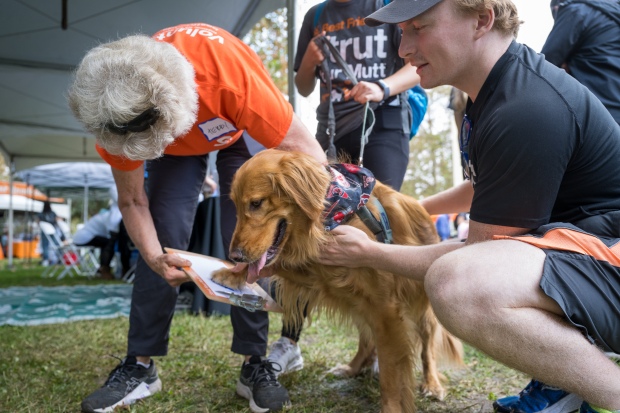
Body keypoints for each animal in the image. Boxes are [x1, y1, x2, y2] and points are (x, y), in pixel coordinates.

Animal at [213, 149, 460, 412]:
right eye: (235, 206)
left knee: (426, 346)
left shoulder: (386, 309)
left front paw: (393, 406)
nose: (234, 255)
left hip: (418, 305)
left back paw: (432, 384)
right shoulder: (318, 272)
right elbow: (275, 264)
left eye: (256, 203)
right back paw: (352, 367)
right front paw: (234, 273)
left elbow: (392, 375)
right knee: (367, 339)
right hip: (359, 303)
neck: (335, 212)